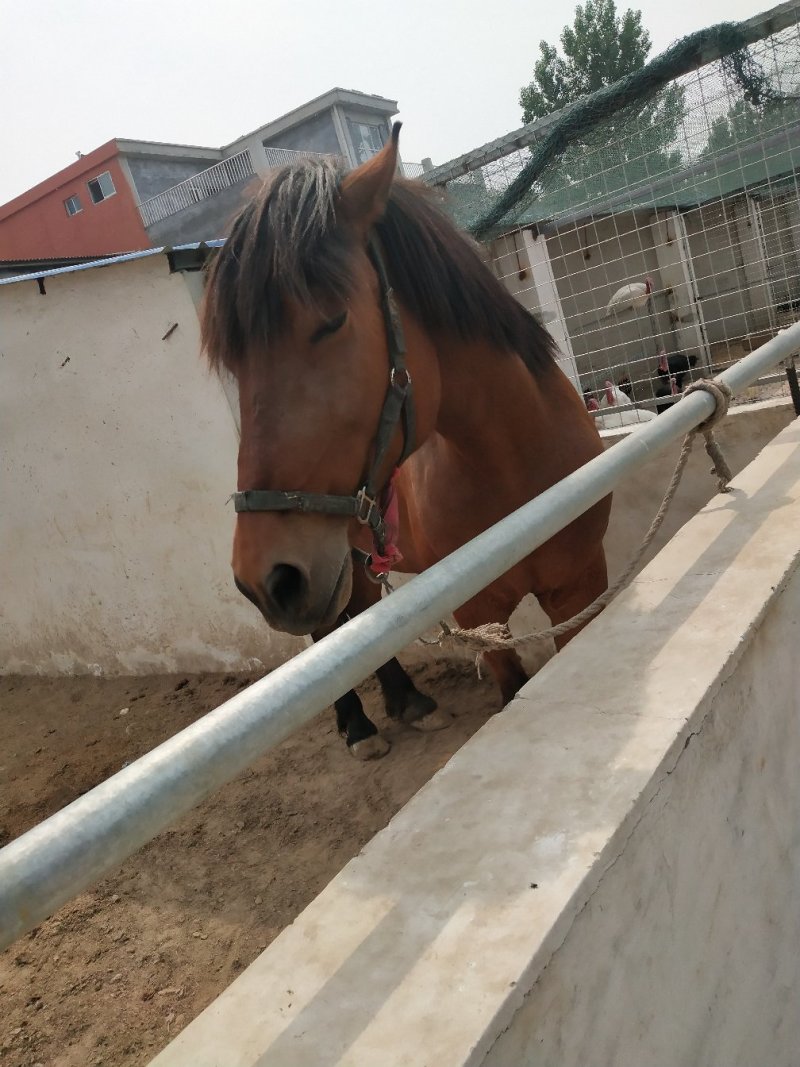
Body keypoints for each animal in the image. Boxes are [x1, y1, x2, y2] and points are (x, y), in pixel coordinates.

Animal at [201, 123, 611, 760]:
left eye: (331, 321)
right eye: (235, 365)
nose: (261, 577)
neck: (519, 468)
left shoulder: (580, 588)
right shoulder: (479, 611)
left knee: (355, 614)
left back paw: (408, 703)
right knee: (327, 631)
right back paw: (358, 726)